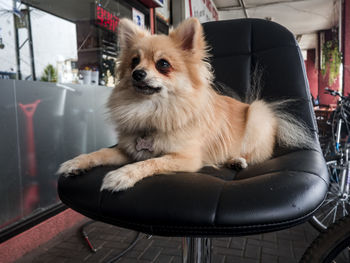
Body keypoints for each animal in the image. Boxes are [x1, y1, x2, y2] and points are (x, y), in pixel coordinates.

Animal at [58, 18, 314, 192]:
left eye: (163, 64)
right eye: (133, 62)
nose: (137, 73)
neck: (150, 109)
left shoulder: (185, 158)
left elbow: (152, 161)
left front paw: (122, 175)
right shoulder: (126, 150)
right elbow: (101, 152)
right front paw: (77, 162)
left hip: (257, 116)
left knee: (252, 153)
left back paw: (237, 159)